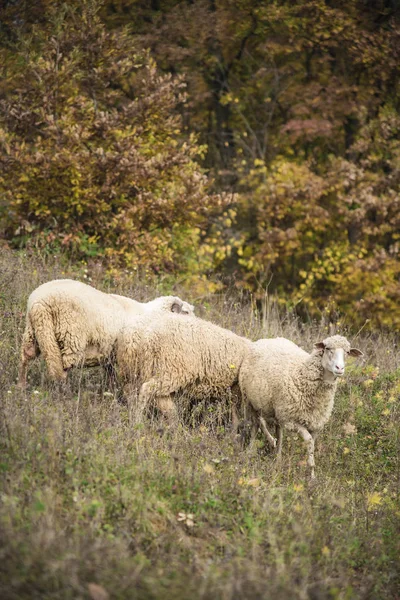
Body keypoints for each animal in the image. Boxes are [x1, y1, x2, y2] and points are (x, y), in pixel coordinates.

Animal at [18, 278, 194, 386]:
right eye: (185, 312)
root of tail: (40, 302)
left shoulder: (110, 356)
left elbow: (110, 374)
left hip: (34, 332)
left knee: (26, 357)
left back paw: (22, 386)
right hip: (71, 337)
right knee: (61, 370)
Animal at [239, 332, 364, 478]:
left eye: (348, 352)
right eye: (327, 348)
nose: (340, 368)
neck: (302, 374)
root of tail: (264, 340)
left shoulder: (315, 424)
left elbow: (312, 445)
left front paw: (312, 474)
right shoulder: (293, 421)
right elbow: (309, 441)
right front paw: (311, 474)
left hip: (278, 410)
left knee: (278, 431)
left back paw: (278, 458)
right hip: (250, 401)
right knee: (255, 425)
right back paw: (250, 451)